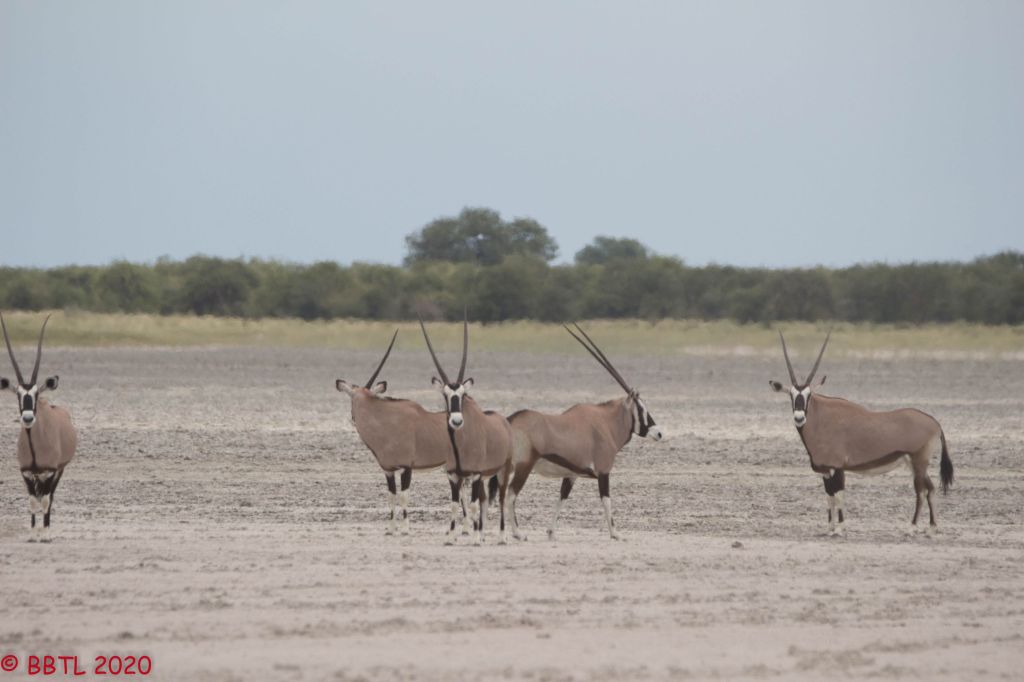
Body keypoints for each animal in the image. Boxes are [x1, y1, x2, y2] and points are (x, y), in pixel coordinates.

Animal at [2, 313, 77, 541]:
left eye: (35, 394)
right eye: (18, 394)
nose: (27, 417)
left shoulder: (50, 471)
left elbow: (44, 501)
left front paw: (44, 534)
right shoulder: (27, 473)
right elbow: (33, 502)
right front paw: (33, 534)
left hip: (59, 471)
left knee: (50, 496)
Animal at [336, 330, 471, 535]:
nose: (352, 418)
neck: (384, 422)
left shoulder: (407, 467)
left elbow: (404, 495)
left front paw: (405, 527)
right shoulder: (388, 469)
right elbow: (392, 496)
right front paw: (391, 528)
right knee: (462, 491)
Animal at [418, 314, 518, 545]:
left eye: (462, 395)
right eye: (445, 395)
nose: (456, 421)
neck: (459, 444)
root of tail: (504, 421)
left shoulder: (474, 474)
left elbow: (472, 506)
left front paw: (474, 539)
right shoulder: (454, 475)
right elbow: (456, 506)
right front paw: (452, 537)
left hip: (503, 470)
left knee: (501, 498)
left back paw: (501, 536)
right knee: (484, 501)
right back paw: (481, 534)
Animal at [502, 323, 663, 541]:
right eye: (641, 408)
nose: (658, 433)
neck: (606, 422)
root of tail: (510, 420)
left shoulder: (572, 475)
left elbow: (562, 498)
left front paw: (551, 532)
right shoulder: (603, 471)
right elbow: (606, 500)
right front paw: (616, 533)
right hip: (523, 467)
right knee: (511, 495)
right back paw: (518, 533)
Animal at [770, 330, 954, 536]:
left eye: (809, 396)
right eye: (791, 395)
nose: (799, 417)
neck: (821, 418)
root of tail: (935, 423)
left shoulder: (837, 468)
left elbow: (839, 495)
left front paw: (839, 528)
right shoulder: (825, 471)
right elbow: (829, 497)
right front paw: (829, 527)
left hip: (919, 462)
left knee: (921, 491)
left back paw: (912, 527)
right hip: (914, 464)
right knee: (931, 489)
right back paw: (932, 527)